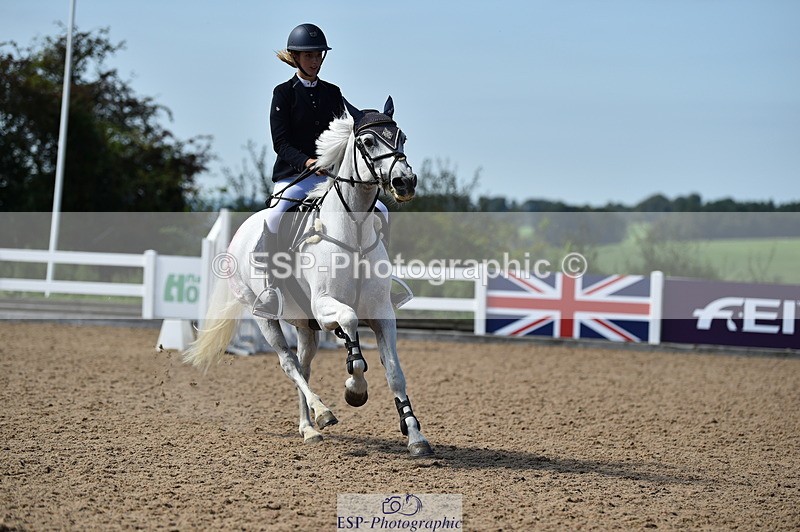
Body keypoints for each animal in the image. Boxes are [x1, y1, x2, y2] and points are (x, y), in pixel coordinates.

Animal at [183, 97, 434, 458]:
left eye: (402, 138)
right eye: (367, 141)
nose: (405, 182)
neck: (354, 233)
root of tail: (241, 231)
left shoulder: (381, 314)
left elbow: (395, 373)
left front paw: (415, 436)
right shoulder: (326, 304)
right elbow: (350, 323)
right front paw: (355, 389)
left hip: (304, 325)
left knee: (303, 366)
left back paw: (309, 427)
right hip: (265, 317)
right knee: (289, 364)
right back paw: (322, 414)